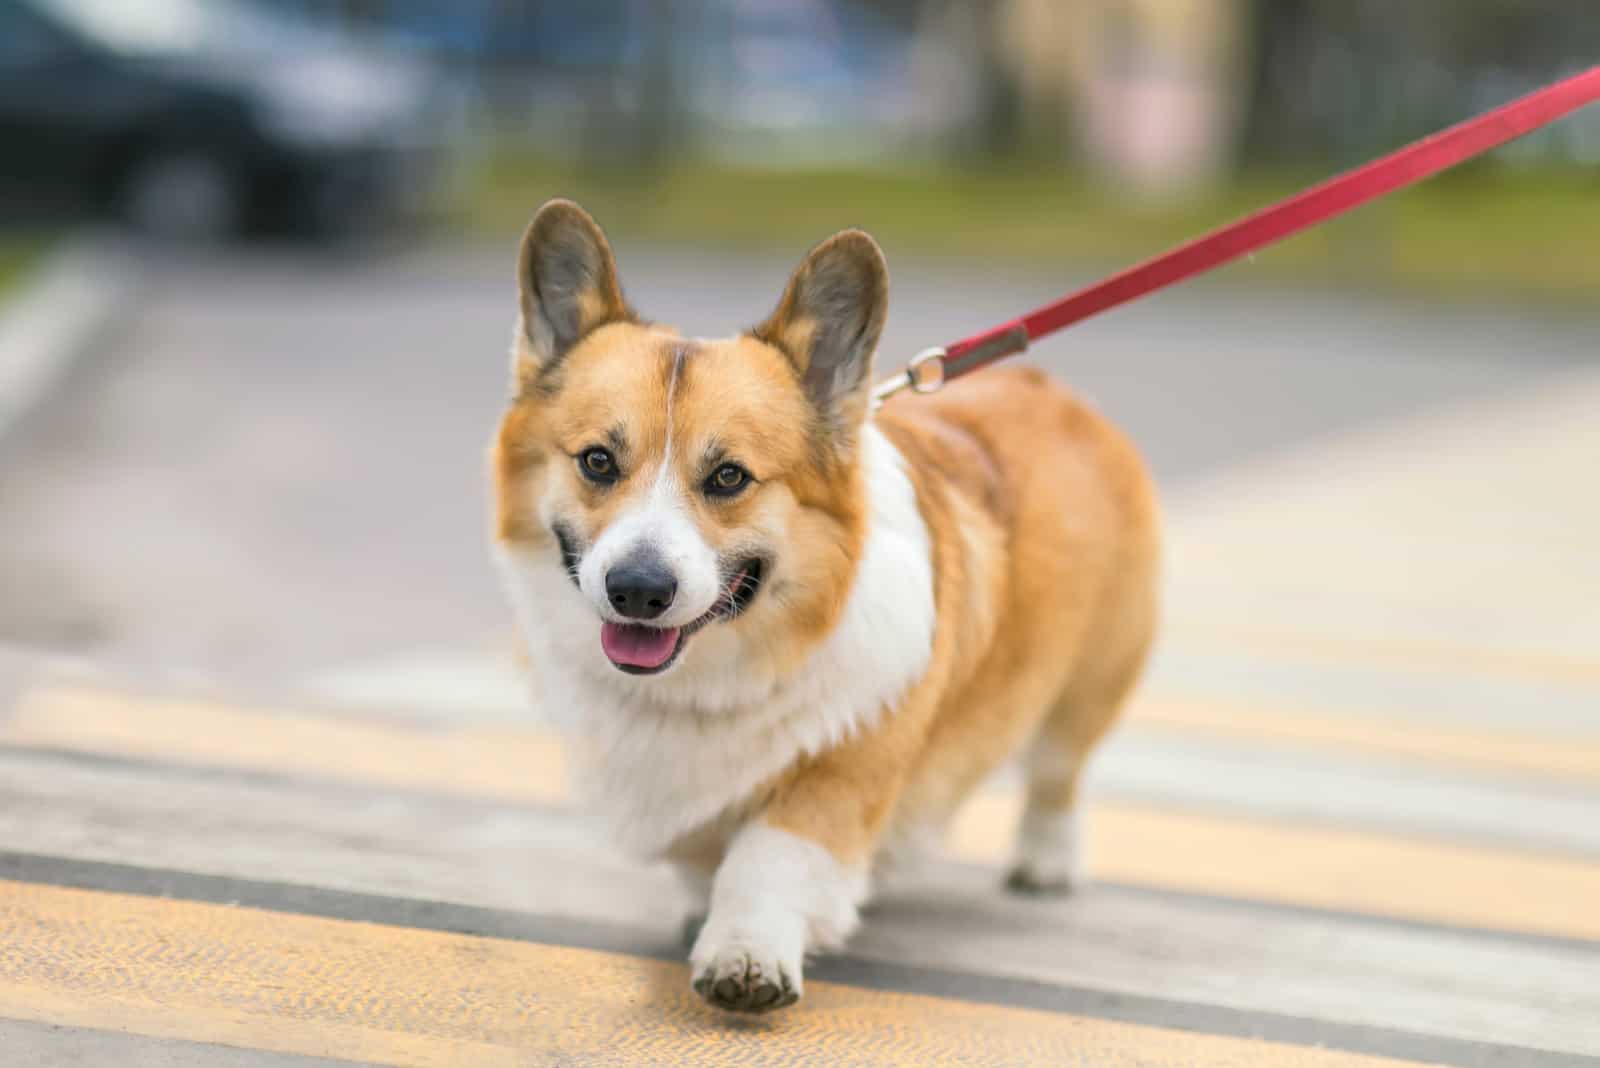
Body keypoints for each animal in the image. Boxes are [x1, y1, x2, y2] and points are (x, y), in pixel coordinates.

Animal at [492, 198, 1158, 1010]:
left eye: (729, 477)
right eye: (597, 461)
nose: (638, 590)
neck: (716, 675)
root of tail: (1051, 388)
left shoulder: (845, 767)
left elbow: (770, 856)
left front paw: (745, 955)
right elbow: (704, 850)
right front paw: (702, 910)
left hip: (1089, 684)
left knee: (1059, 772)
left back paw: (1046, 863)